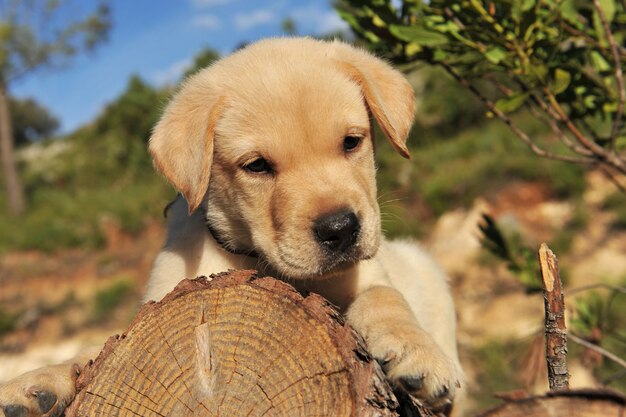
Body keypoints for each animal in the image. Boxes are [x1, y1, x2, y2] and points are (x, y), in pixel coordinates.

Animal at [0, 37, 458, 414]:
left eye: (352, 142)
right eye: (256, 166)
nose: (341, 228)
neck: (260, 260)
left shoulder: (369, 274)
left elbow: (384, 299)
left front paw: (417, 353)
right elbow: (97, 348)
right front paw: (37, 385)